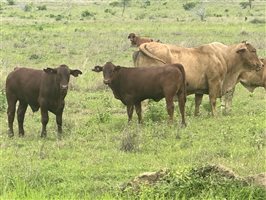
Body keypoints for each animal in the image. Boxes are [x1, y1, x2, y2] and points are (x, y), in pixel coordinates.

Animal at [133, 40, 262, 115]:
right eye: (253, 50)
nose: (261, 64)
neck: (224, 57)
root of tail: (146, 45)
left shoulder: (199, 90)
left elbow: (197, 103)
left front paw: (197, 115)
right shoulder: (214, 83)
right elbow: (213, 101)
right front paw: (215, 116)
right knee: (143, 104)